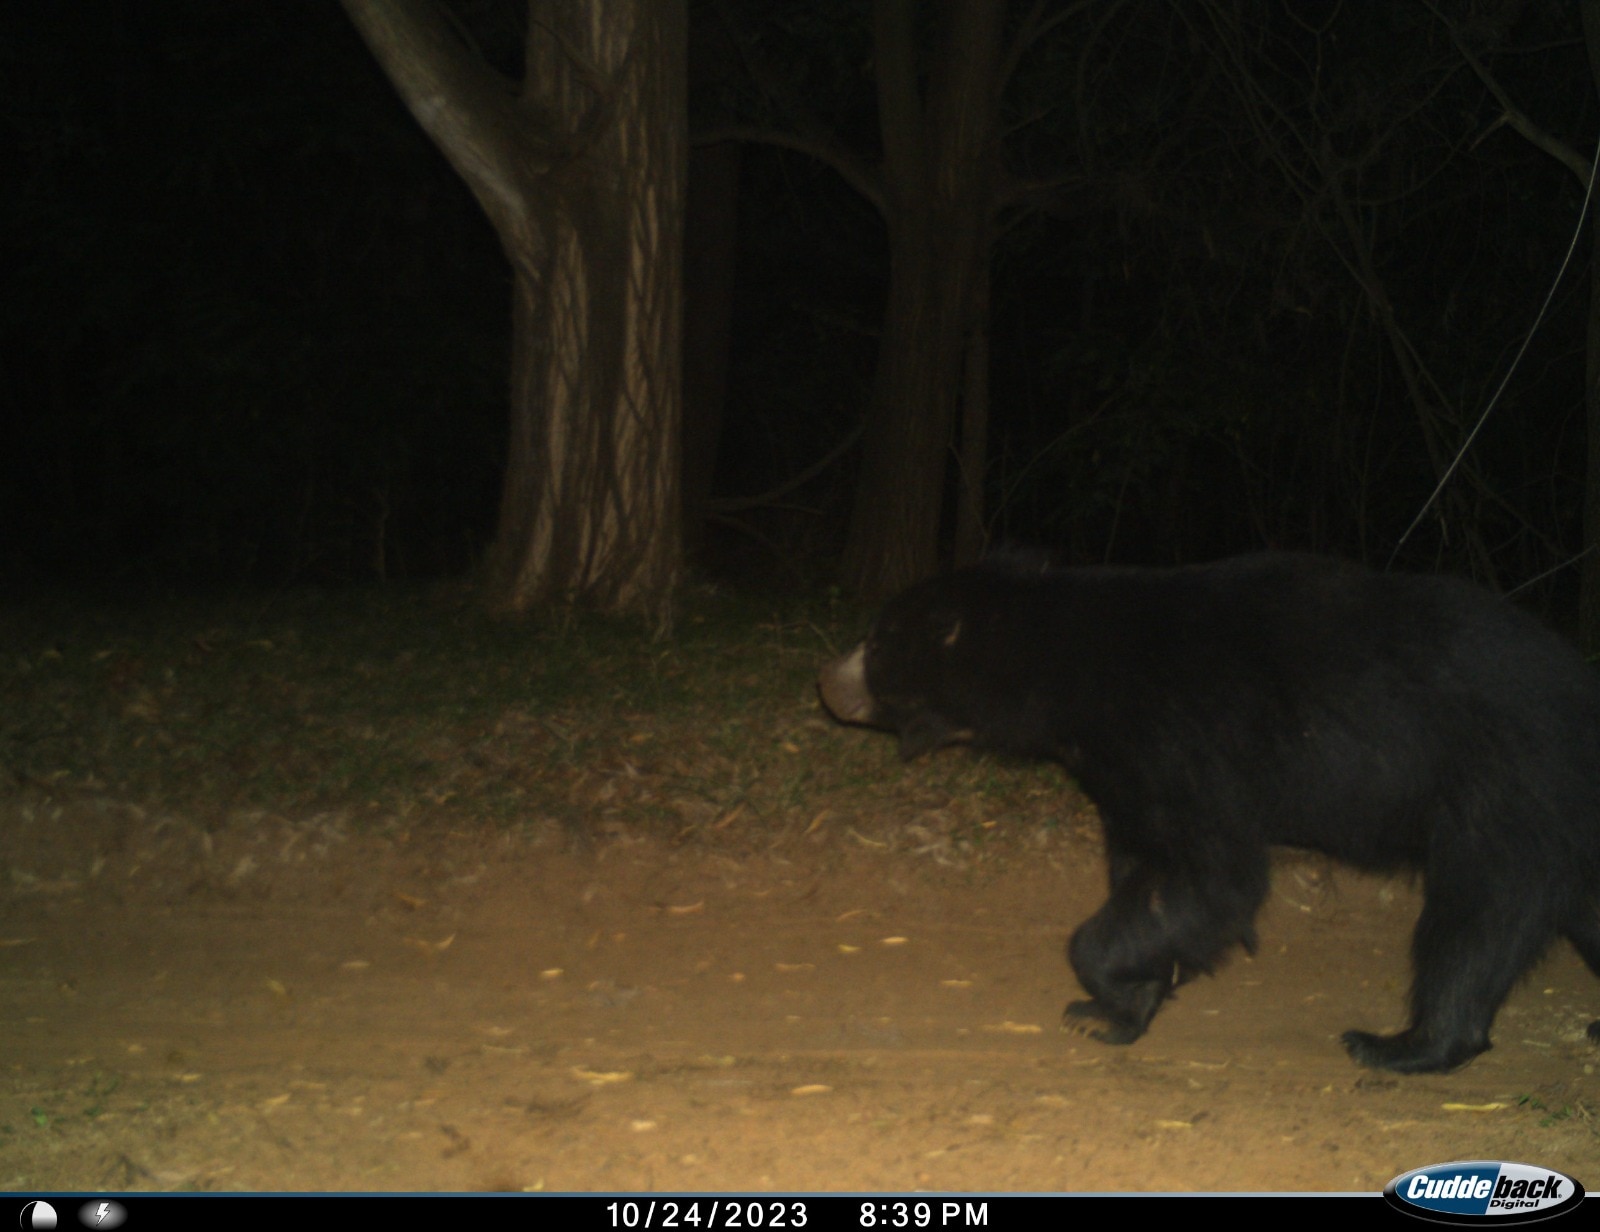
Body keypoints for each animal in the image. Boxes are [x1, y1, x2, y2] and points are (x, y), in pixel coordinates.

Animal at [819, 550, 1600, 1068]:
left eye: (878, 641)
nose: (825, 681)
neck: (1073, 672)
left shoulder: (1186, 736)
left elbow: (1210, 872)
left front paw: (1099, 990)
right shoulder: (1126, 770)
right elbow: (1148, 872)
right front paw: (1115, 1007)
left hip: (1504, 784)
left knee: (1475, 919)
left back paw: (1400, 1043)